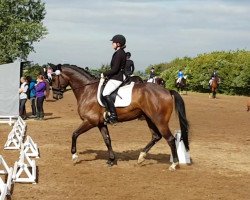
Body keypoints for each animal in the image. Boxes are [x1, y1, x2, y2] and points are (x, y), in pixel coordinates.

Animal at [51, 65, 189, 171]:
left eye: (52, 78)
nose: (55, 95)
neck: (87, 90)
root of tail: (167, 91)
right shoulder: (101, 123)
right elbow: (107, 140)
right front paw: (111, 160)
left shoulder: (90, 121)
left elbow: (74, 134)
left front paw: (74, 156)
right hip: (149, 118)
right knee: (156, 136)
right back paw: (141, 157)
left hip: (159, 120)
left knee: (170, 139)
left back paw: (174, 164)